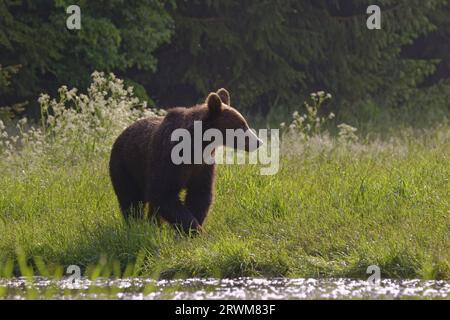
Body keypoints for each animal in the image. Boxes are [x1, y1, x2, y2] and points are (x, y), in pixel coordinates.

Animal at [109, 89, 262, 234]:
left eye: (245, 123)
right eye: (241, 125)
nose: (258, 142)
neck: (197, 146)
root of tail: (121, 134)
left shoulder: (202, 166)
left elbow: (199, 194)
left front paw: (193, 228)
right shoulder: (167, 160)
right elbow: (164, 194)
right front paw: (193, 229)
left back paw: (153, 225)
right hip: (125, 167)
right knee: (130, 199)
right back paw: (135, 225)